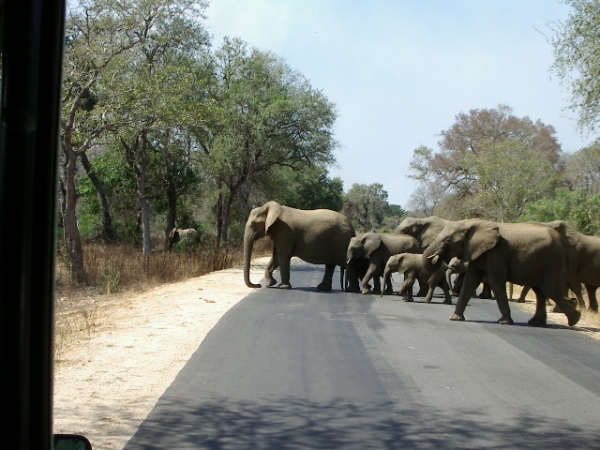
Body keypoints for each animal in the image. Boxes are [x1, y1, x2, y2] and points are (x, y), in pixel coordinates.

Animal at [422, 219, 580, 326]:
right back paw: (537, 323)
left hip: (552, 260)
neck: (472, 222)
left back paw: (574, 319)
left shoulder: (496, 253)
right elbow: (470, 281)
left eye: (448, 239)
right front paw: (454, 318)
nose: (438, 256)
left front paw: (504, 322)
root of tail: (563, 242)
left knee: (549, 289)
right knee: (540, 291)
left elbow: (496, 282)